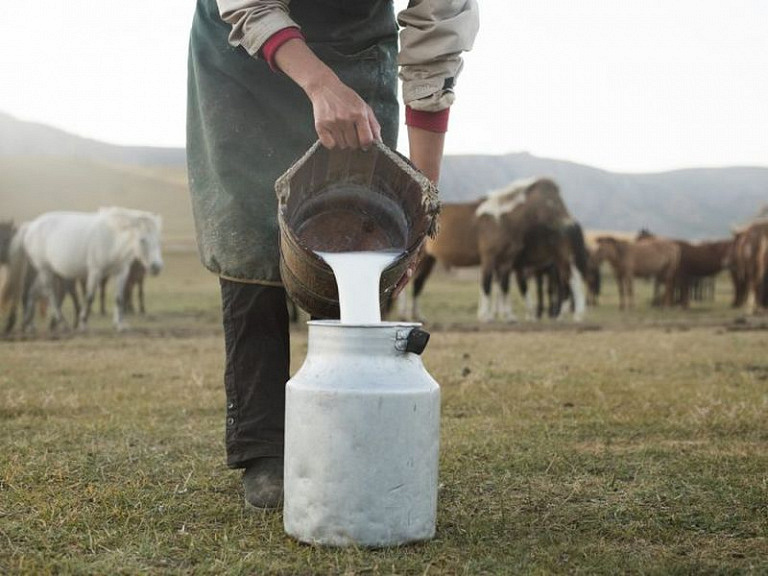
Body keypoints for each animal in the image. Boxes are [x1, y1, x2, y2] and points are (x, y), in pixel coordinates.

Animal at [6, 208, 163, 332]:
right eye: (142, 239)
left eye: (158, 239)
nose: (156, 267)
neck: (112, 238)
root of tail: (30, 226)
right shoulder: (95, 272)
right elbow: (90, 296)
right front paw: (83, 323)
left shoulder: (121, 272)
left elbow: (119, 298)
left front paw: (119, 325)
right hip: (45, 270)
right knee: (50, 294)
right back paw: (62, 323)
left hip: (45, 271)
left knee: (33, 292)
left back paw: (27, 324)